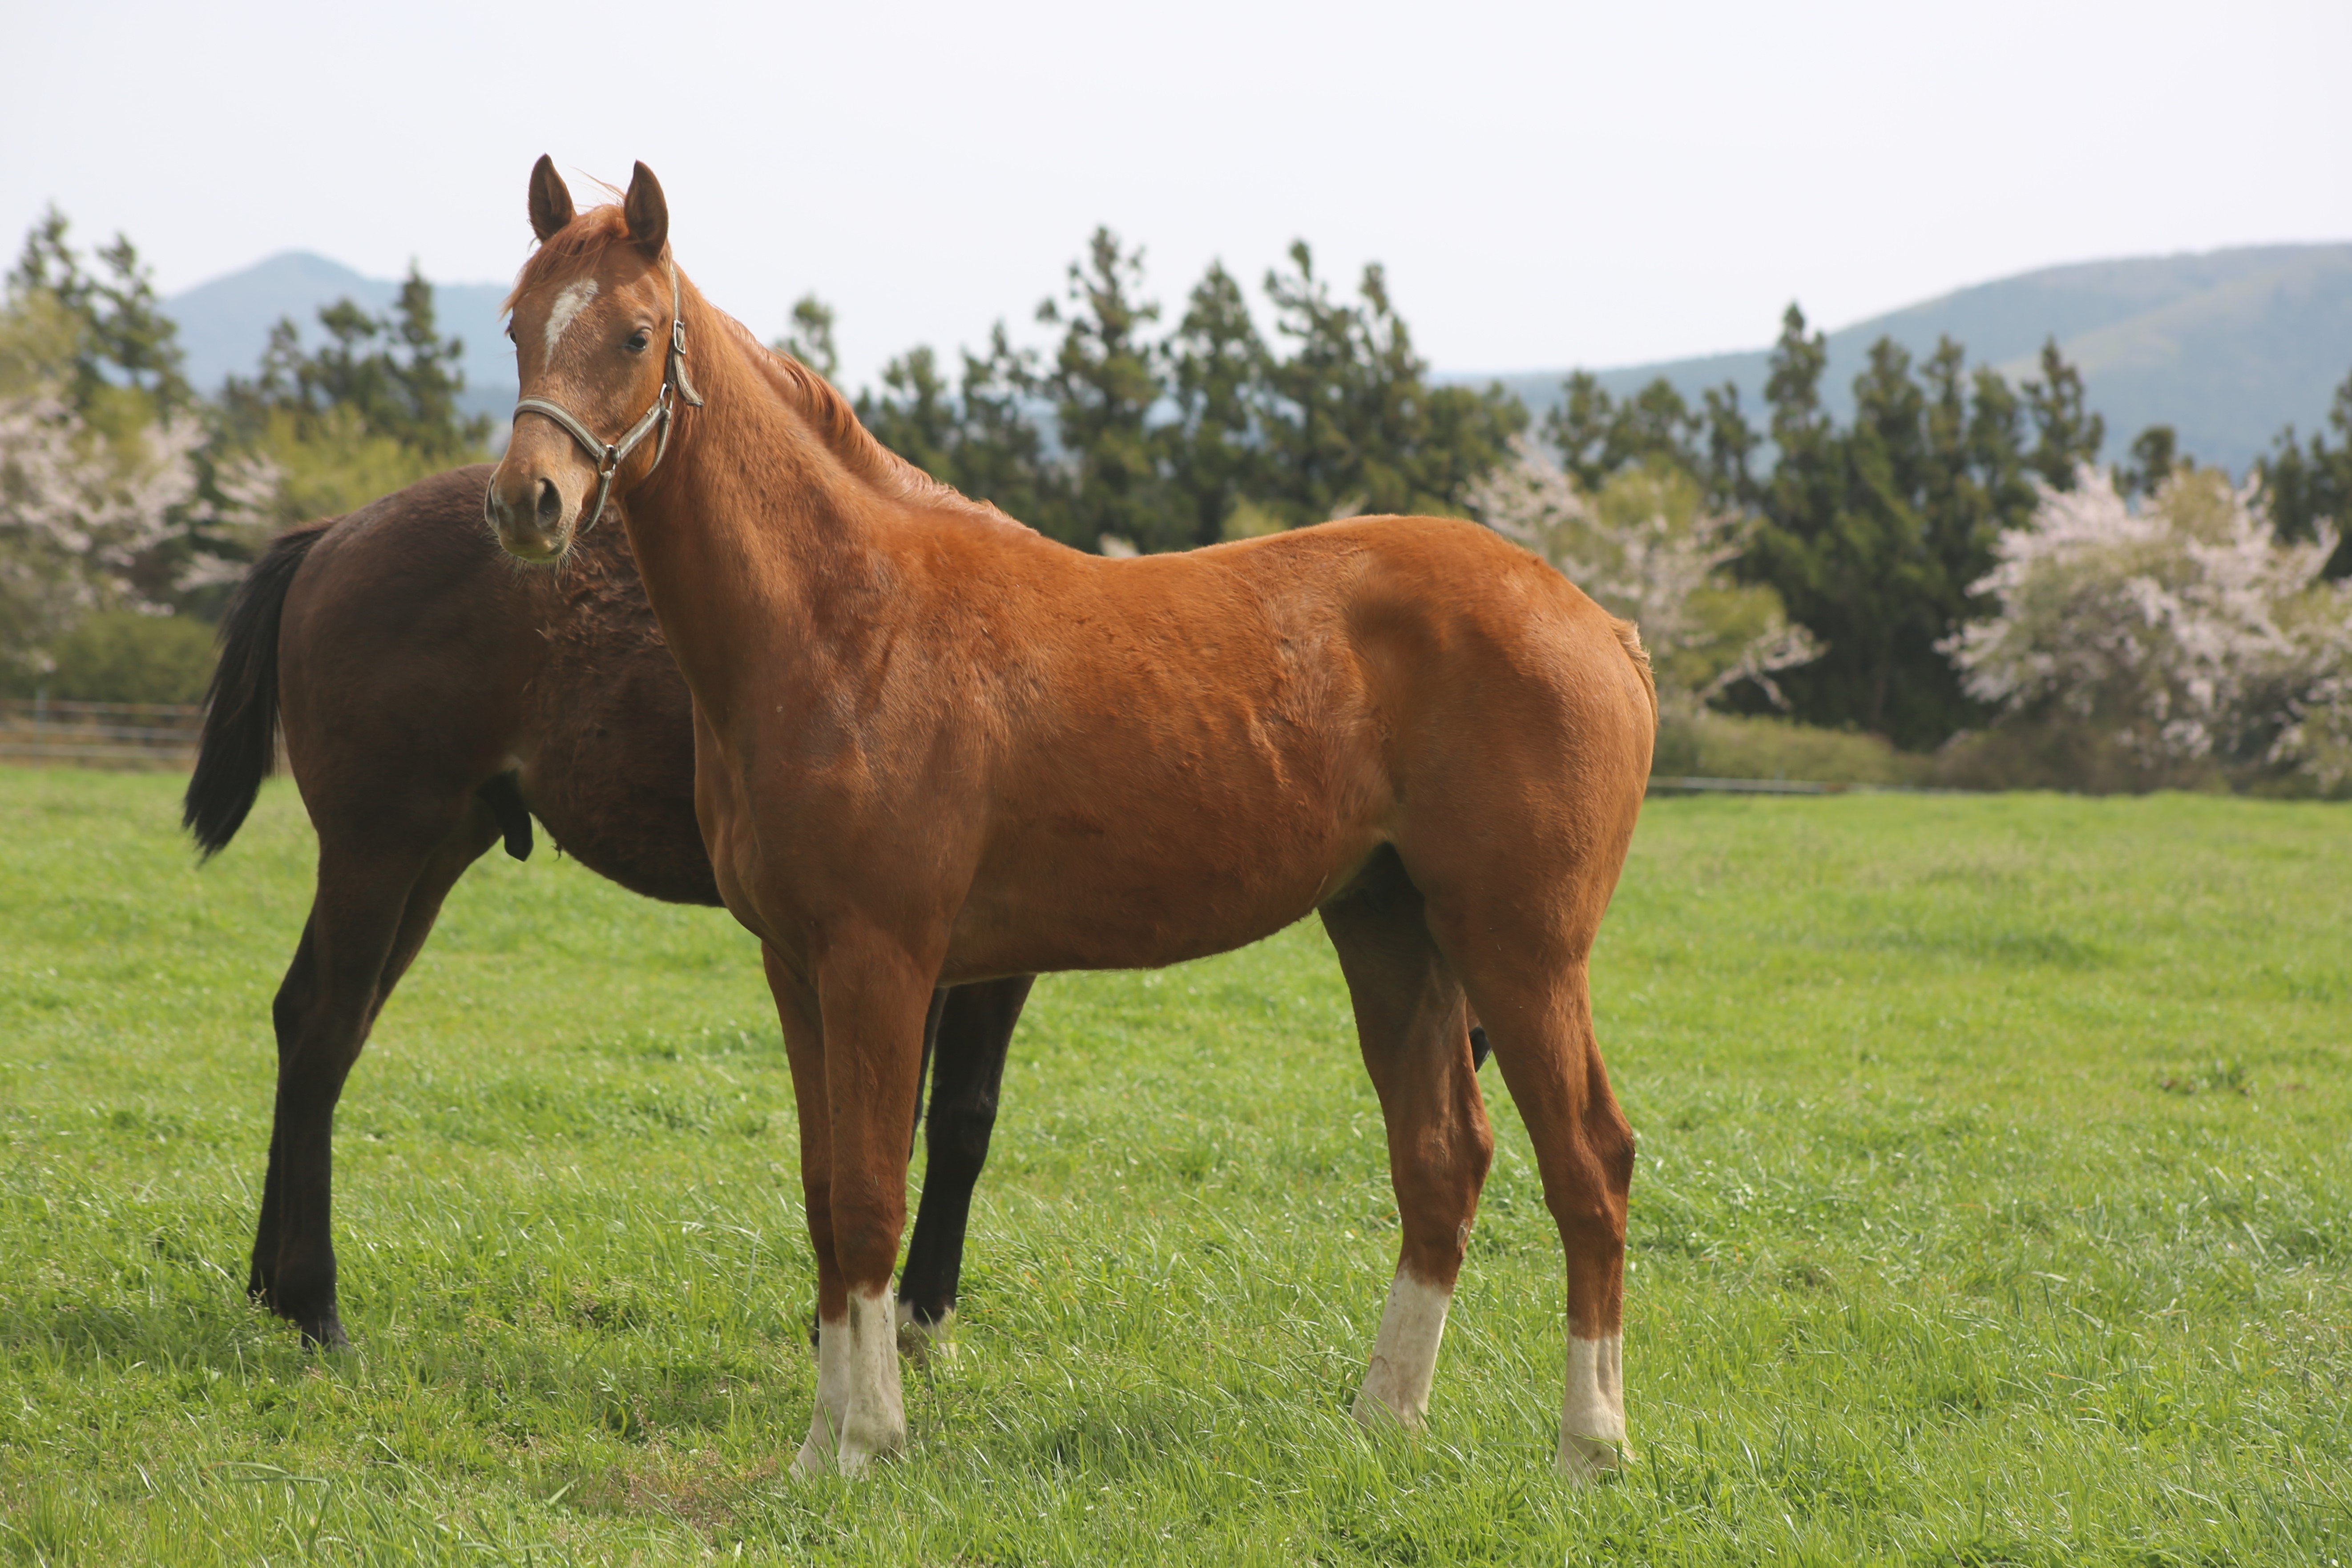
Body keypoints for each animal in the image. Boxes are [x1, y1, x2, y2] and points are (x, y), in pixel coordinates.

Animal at [183, 463, 1030, 1354]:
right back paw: (315, 1301)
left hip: (432, 854)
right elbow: (885, 1131)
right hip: (377, 847)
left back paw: (268, 1282)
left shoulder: (995, 962)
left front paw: (922, 1315)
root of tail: (336, 534)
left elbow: (962, 1122)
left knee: (306, 1017)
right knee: (324, 1032)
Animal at [480, 153, 1656, 1476]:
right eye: (519, 326)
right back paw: (1381, 1420)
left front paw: (867, 1436)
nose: (527, 502)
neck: (846, 623)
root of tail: (1596, 622)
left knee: (1589, 1160)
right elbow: (825, 1194)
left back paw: (1589, 1444)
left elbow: (873, 1193)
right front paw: (824, 1439)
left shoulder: (883, 961)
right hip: (1391, 928)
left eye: (635, 333)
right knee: (1443, 1157)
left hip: (1521, 945)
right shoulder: (796, 965)